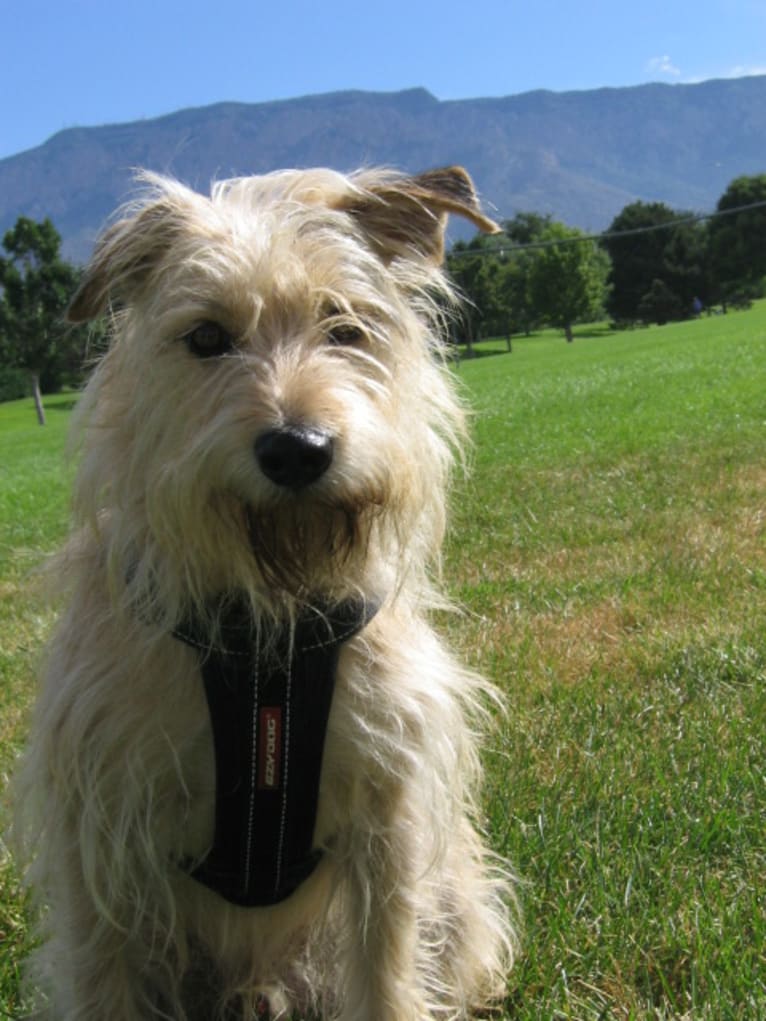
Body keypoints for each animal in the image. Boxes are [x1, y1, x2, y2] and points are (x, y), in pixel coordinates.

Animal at [16, 163, 522, 1016]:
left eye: (344, 326)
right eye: (207, 337)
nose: (297, 449)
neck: (268, 624)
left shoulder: (389, 825)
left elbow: (387, 975)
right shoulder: (100, 842)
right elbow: (102, 978)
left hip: (454, 895)